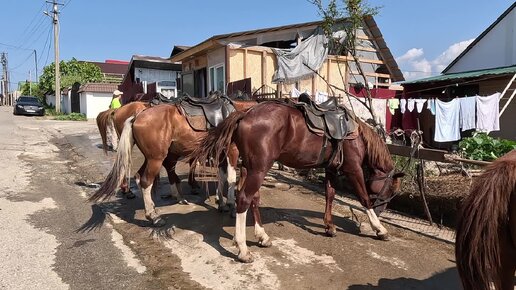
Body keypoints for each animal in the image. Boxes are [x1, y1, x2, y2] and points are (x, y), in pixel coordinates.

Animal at [92, 100, 256, 227]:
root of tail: (137, 115)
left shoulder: (220, 153)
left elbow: (221, 177)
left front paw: (221, 203)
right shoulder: (232, 151)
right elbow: (231, 178)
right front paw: (231, 205)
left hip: (151, 158)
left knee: (139, 176)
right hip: (156, 159)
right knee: (146, 181)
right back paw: (153, 216)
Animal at [189, 101, 404, 262]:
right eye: (390, 191)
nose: (382, 210)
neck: (355, 134)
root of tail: (245, 113)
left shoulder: (330, 168)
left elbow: (330, 194)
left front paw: (329, 226)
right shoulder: (353, 169)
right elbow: (364, 198)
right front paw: (379, 228)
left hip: (250, 168)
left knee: (253, 199)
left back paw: (262, 236)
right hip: (258, 169)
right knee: (244, 199)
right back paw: (243, 249)